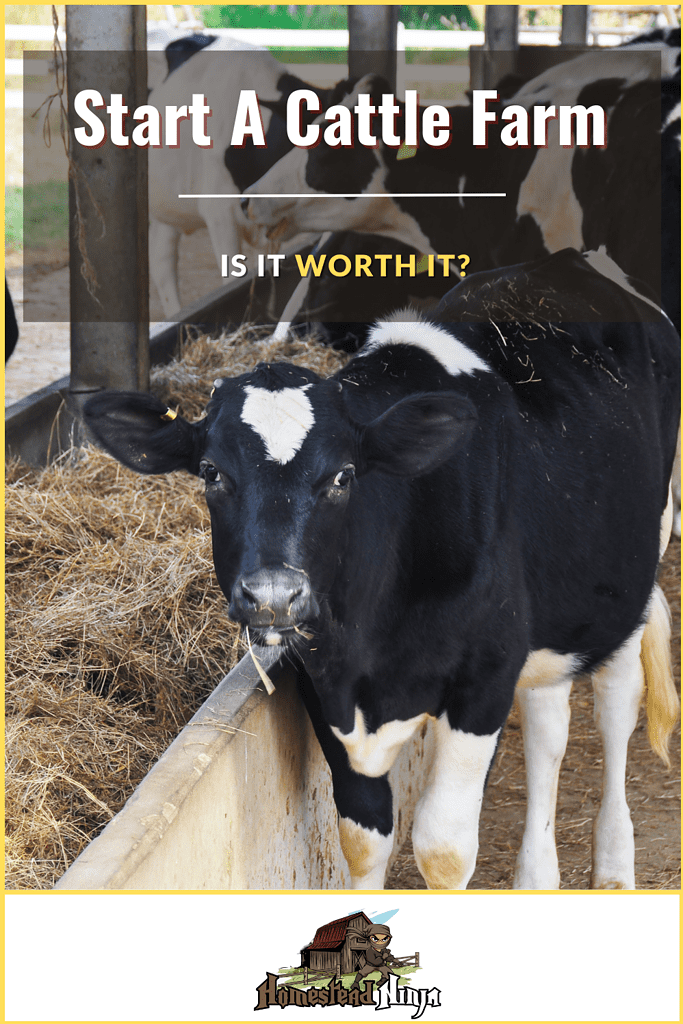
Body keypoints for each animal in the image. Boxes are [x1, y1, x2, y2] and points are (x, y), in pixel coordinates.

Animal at [83, 247, 679, 890]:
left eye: (344, 475)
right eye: (212, 472)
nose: (273, 595)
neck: (372, 642)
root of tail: (571, 260)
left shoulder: (484, 674)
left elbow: (443, 848)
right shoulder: (323, 680)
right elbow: (364, 838)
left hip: (630, 577)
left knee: (616, 704)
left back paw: (614, 865)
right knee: (549, 722)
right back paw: (537, 877)